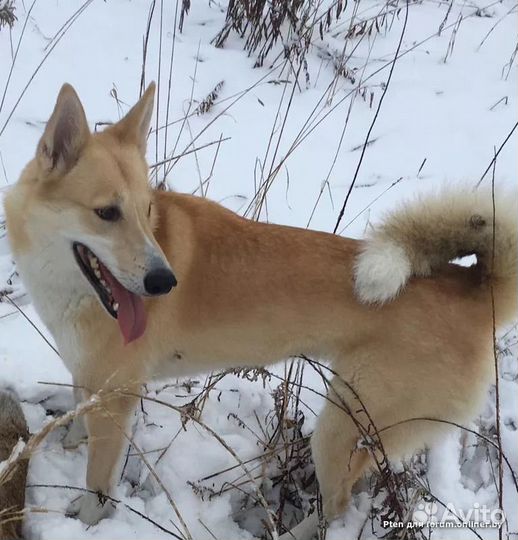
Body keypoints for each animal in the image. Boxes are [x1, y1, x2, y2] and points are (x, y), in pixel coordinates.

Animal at [4, 82, 518, 536]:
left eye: (147, 210)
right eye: (107, 213)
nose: (164, 282)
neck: (69, 286)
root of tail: (474, 285)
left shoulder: (117, 397)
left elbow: (98, 484)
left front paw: (86, 522)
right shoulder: (88, 377)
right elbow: (78, 417)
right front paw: (70, 442)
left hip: (340, 426)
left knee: (337, 504)